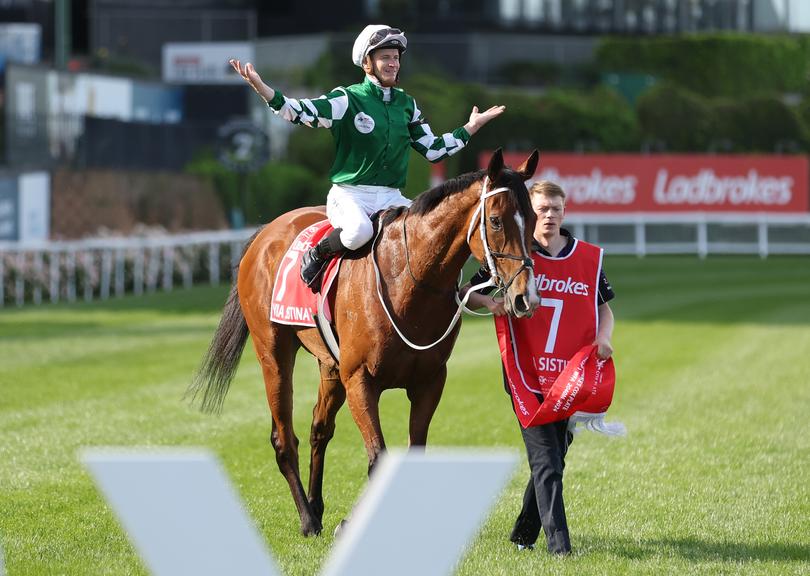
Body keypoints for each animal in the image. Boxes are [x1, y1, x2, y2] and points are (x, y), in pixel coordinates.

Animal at [187, 147, 540, 536]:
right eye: (495, 220)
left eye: (534, 217)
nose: (525, 298)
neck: (409, 279)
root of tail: (268, 230)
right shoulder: (360, 379)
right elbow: (377, 458)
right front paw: (352, 524)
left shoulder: (430, 381)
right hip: (274, 353)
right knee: (283, 438)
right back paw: (308, 519)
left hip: (330, 366)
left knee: (319, 429)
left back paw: (316, 505)